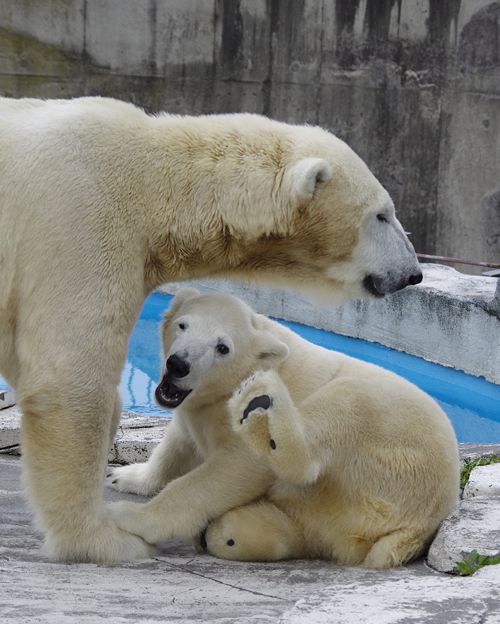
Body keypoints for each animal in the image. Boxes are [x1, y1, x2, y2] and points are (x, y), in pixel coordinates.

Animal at [0, 97, 422, 564]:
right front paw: (105, 540)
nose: (414, 273)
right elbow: (69, 380)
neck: (156, 183)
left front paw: (126, 479)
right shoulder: (80, 225)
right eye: (382, 214)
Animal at [108, 290, 458, 568]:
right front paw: (124, 476)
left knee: (342, 408)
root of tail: (420, 523)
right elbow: (178, 443)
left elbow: (232, 469)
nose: (178, 364)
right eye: (182, 325)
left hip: (391, 440)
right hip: (328, 513)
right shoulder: (194, 408)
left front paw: (130, 515)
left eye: (223, 347)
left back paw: (266, 403)